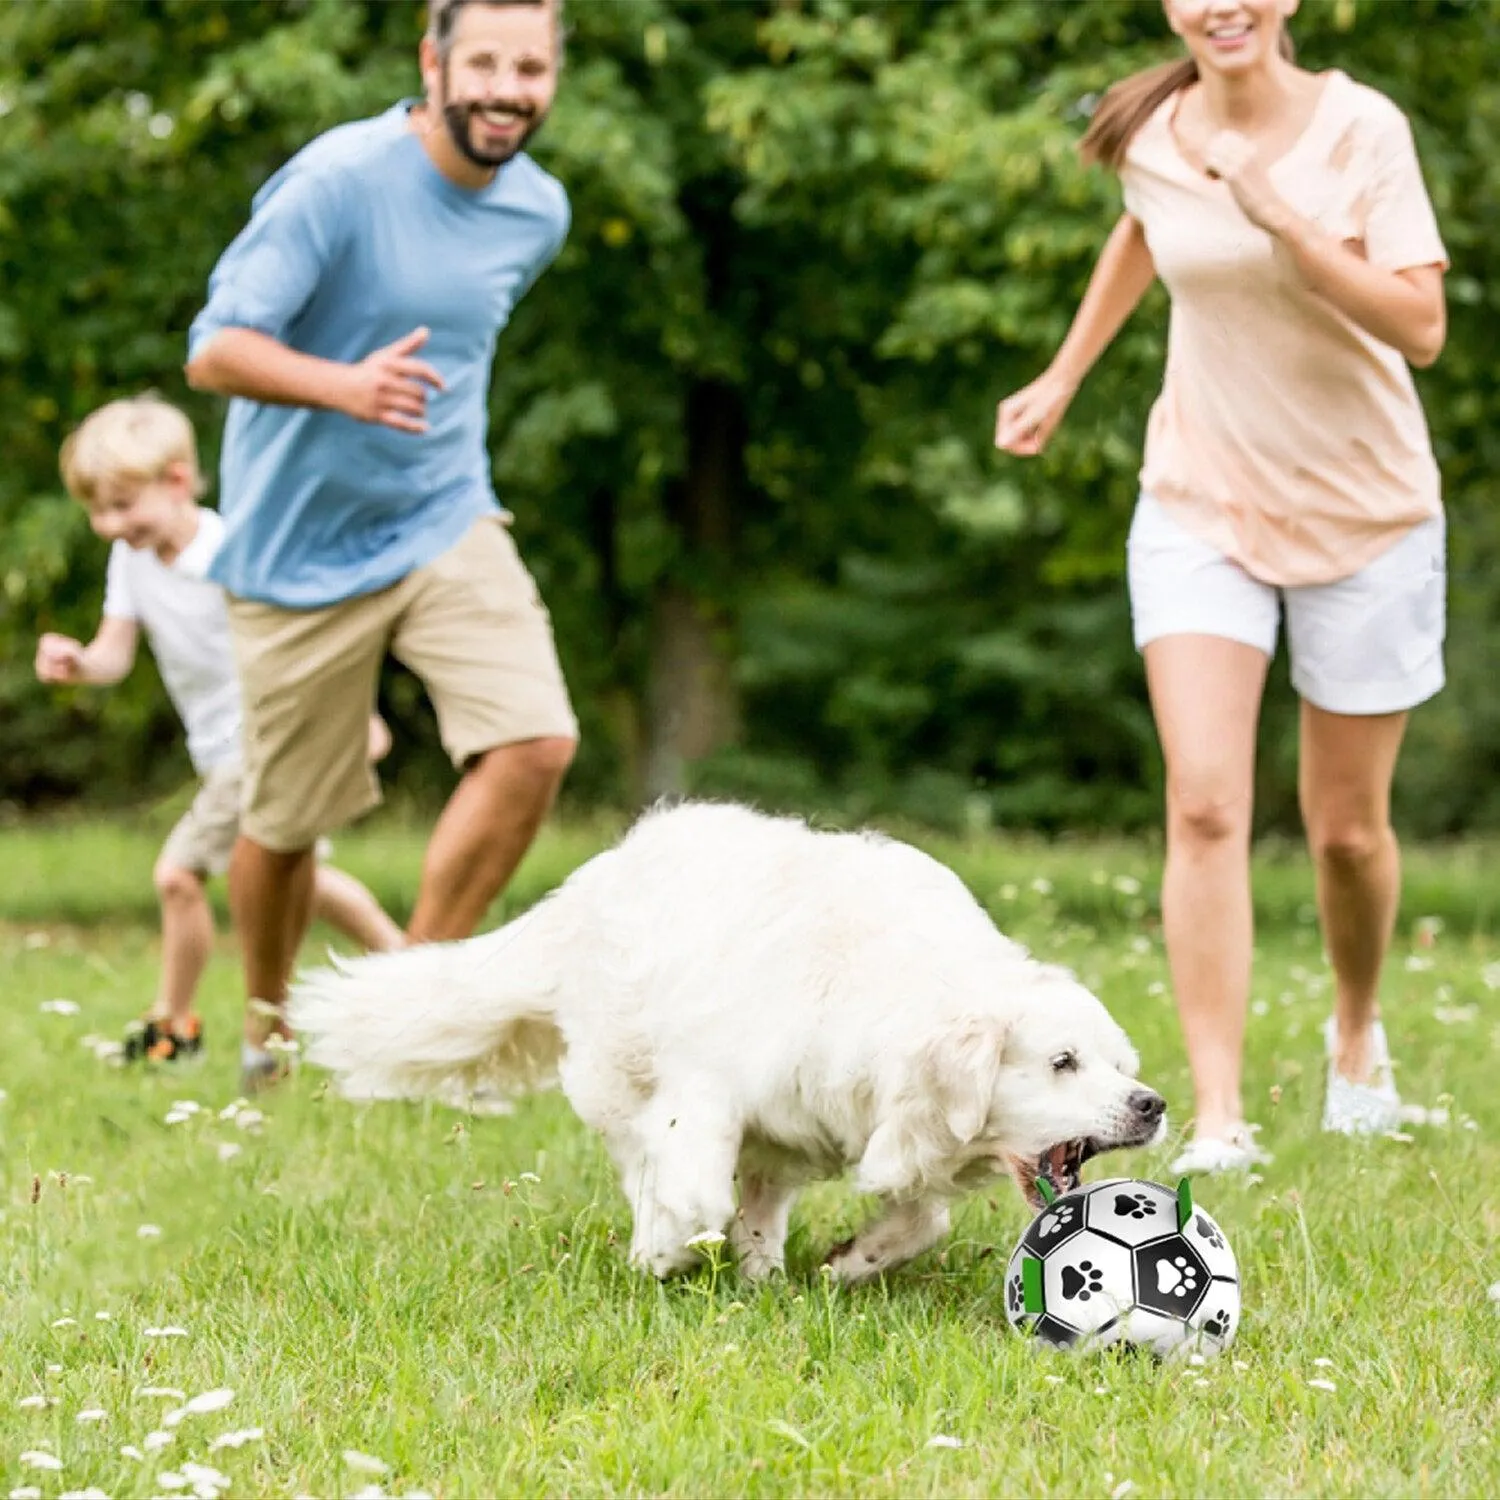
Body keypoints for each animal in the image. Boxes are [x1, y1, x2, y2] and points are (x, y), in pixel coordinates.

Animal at [289, 804, 1158, 1284]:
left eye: (1123, 1065)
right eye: (1062, 1062)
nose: (1151, 1105)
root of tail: (597, 876)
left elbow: (922, 1219)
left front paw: (852, 1262)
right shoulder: (707, 1088)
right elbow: (695, 1188)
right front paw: (668, 1251)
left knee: (761, 1200)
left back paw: (764, 1274)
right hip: (624, 1076)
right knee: (649, 1162)